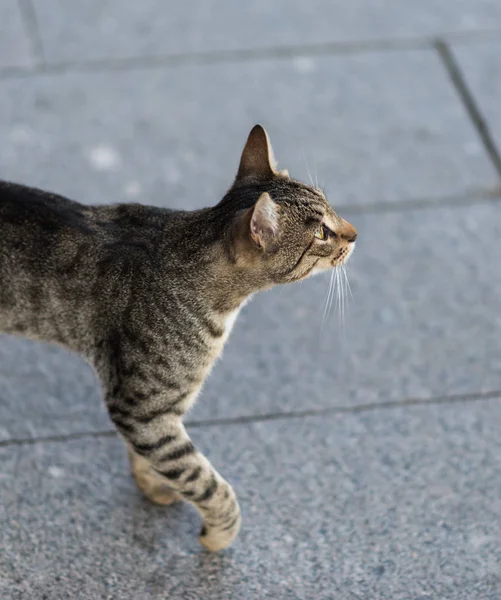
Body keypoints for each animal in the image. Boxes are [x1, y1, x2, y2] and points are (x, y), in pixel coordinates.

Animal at [0, 124, 356, 552]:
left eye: (331, 208)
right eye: (322, 232)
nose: (355, 234)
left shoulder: (157, 402)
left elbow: (155, 461)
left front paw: (154, 484)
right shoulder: (141, 407)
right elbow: (205, 481)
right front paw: (218, 534)